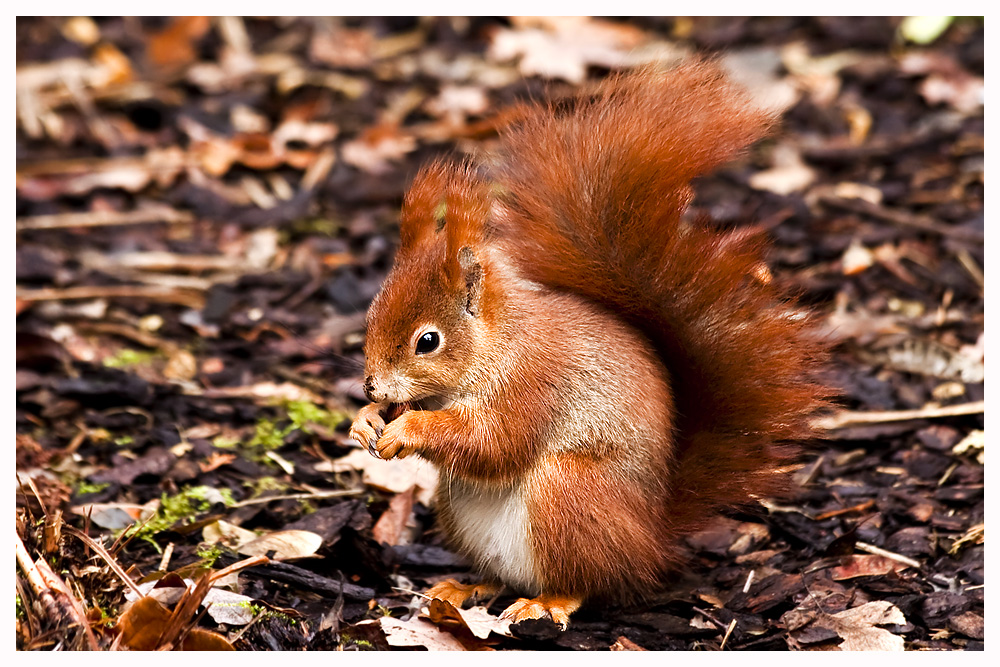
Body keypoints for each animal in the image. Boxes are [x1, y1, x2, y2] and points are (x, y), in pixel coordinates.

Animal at [348, 60, 832, 628]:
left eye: (428, 341)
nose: (372, 386)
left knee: (587, 582)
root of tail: (649, 541)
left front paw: (409, 429)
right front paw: (367, 420)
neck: (497, 346)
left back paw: (547, 602)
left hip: (568, 491)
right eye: (371, 314)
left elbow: (494, 442)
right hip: (464, 514)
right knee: (506, 574)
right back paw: (466, 587)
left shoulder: (531, 384)